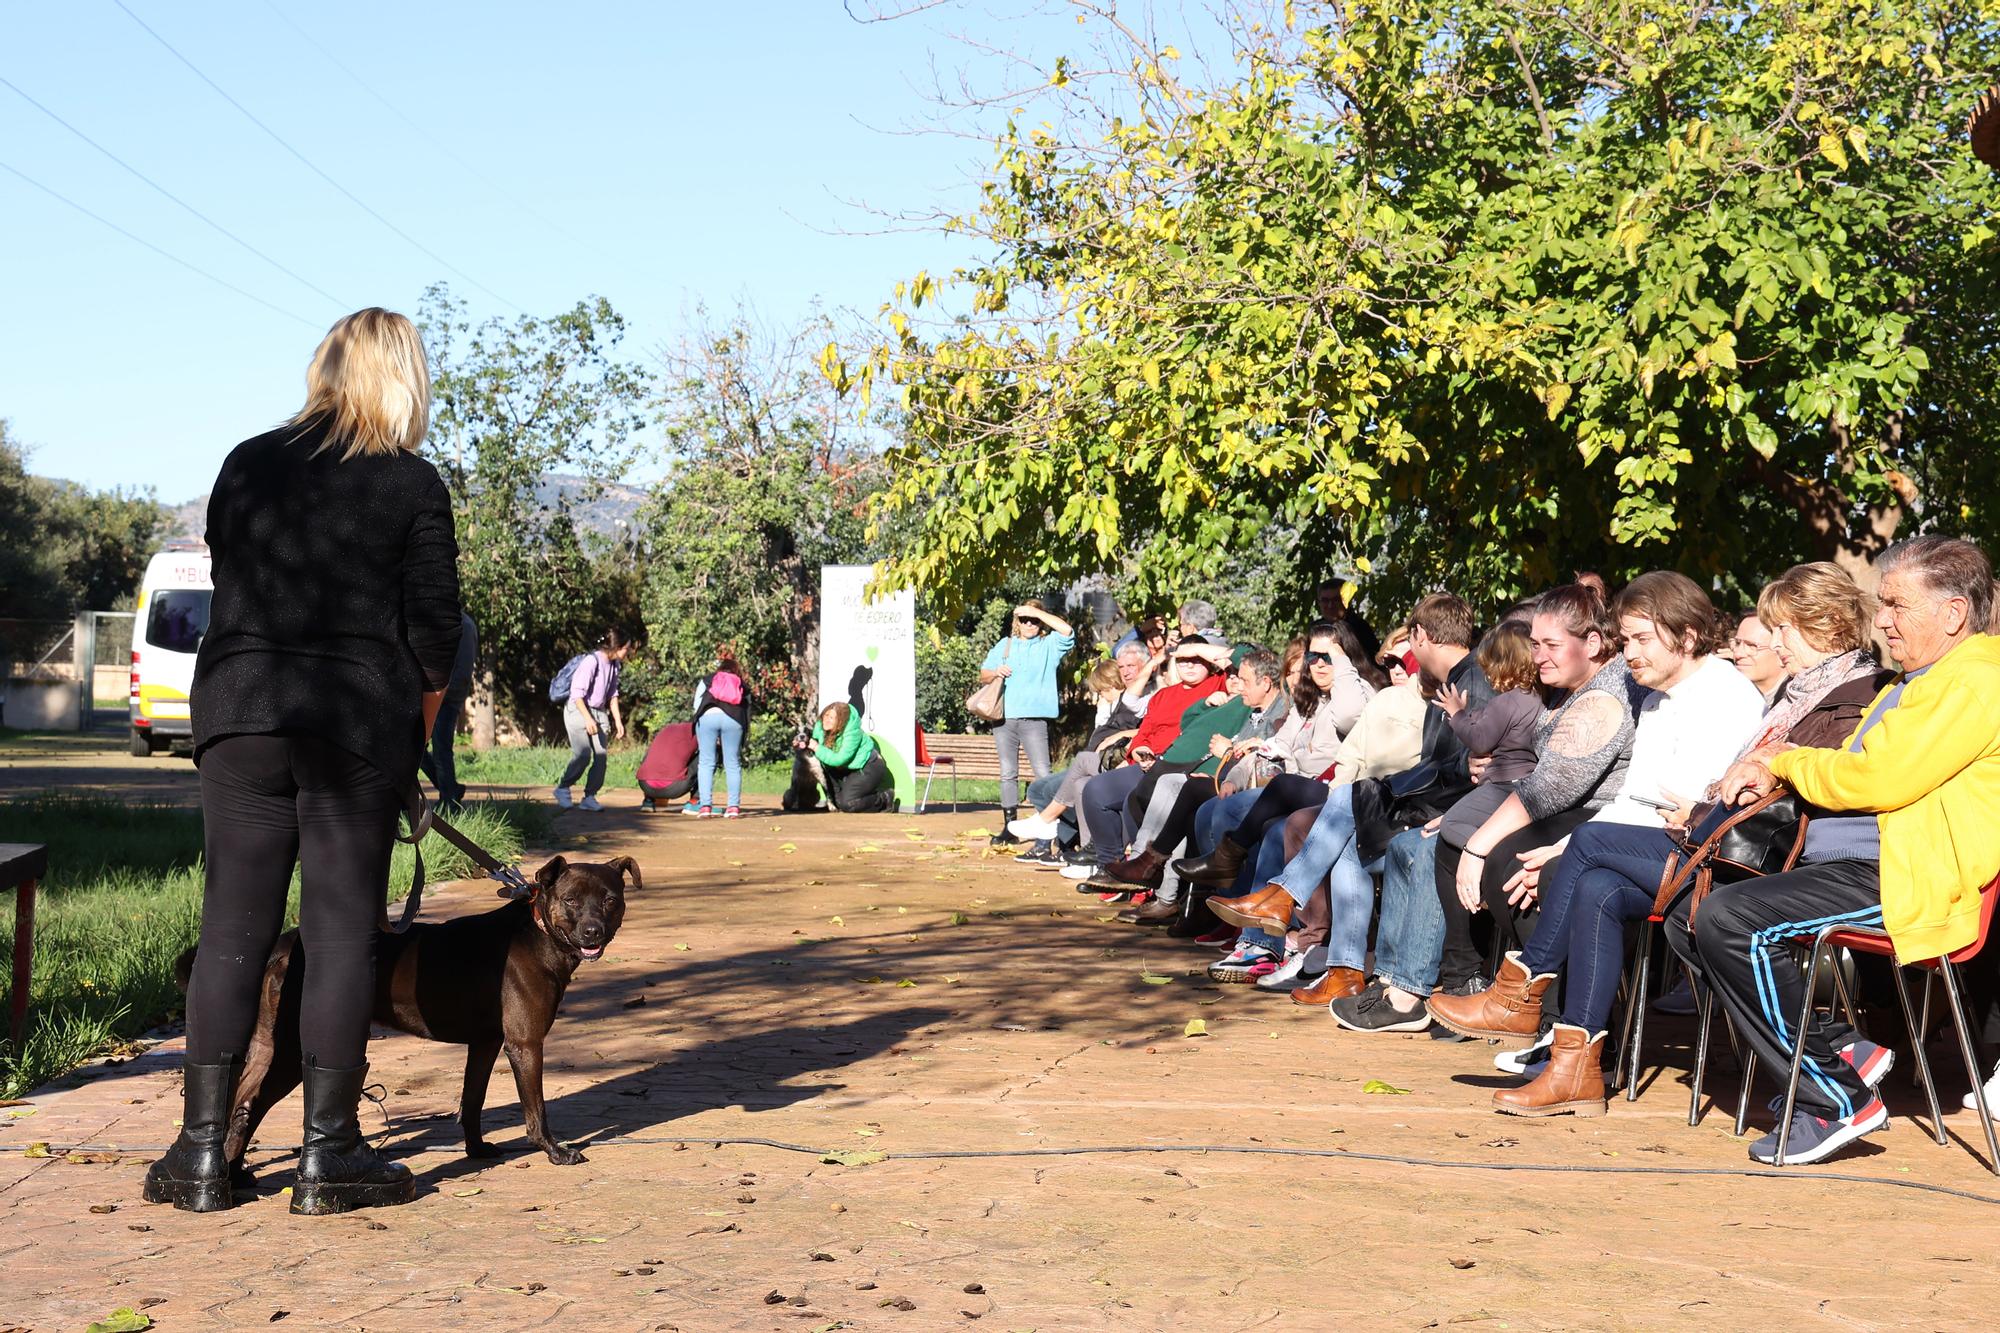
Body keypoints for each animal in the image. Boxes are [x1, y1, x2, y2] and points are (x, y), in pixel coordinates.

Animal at [207, 852, 636, 1160]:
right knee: (250, 1104)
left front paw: (477, 1150)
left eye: (610, 900)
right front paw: (553, 1151)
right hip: (291, 1049)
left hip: (270, 1044)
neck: (539, 930)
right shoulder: (525, 1044)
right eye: (570, 900)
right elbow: (537, 1109)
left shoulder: (485, 1044)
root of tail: (284, 945)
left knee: (240, 1097)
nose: (593, 932)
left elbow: (473, 1100)